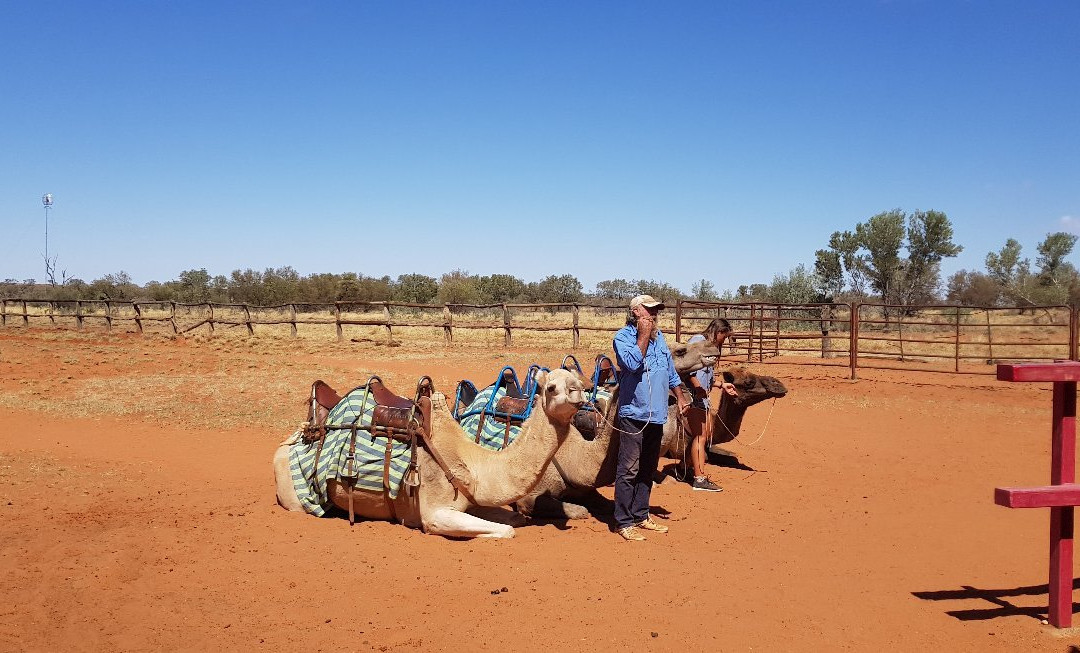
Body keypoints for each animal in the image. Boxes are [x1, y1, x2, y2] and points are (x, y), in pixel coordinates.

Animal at [274, 369, 587, 537]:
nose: (577, 394)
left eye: (579, 383)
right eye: (551, 387)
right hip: (295, 495)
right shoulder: (435, 513)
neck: (475, 463)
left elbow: (515, 520)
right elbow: (506, 530)